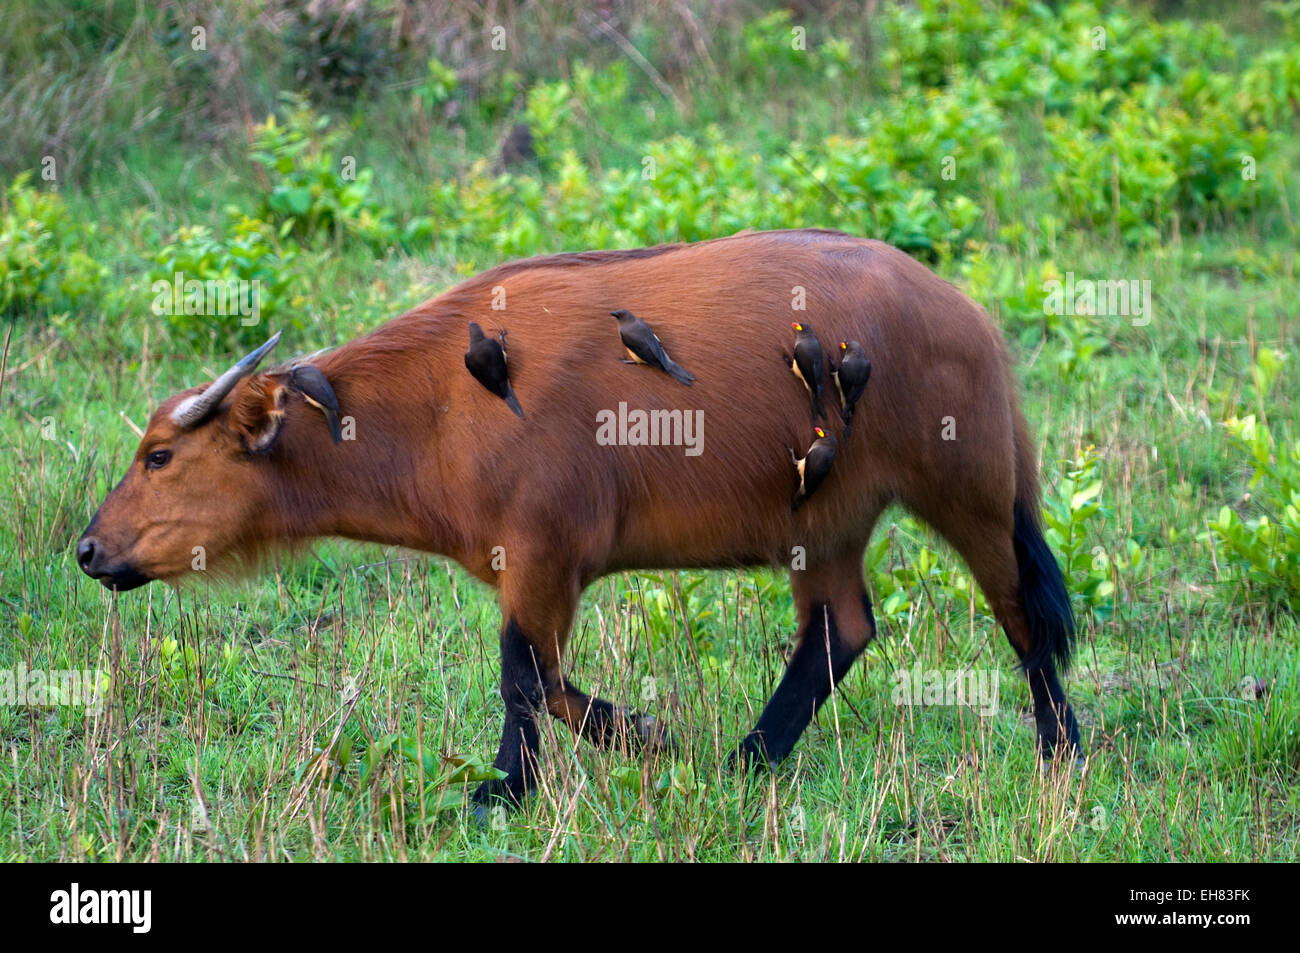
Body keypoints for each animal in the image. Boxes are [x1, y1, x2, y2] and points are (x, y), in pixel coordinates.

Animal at [76, 226, 1081, 806]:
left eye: (159, 455)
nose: (88, 549)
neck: (442, 399)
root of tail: (964, 313)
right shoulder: (532, 570)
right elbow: (544, 680)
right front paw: (633, 740)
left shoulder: (541, 558)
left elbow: (525, 678)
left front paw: (512, 786)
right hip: (822, 530)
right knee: (841, 631)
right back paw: (748, 760)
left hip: (972, 499)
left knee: (1024, 620)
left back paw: (1061, 751)